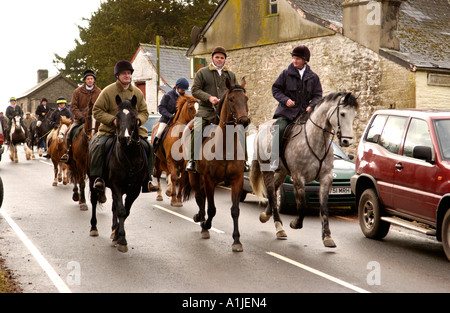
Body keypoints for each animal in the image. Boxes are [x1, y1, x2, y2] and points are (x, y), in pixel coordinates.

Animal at [89, 94, 149, 251]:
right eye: (117, 116)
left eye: (134, 116)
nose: (123, 138)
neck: (130, 156)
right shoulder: (116, 185)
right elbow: (121, 210)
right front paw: (121, 239)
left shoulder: (134, 189)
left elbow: (124, 211)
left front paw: (116, 235)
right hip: (93, 180)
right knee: (94, 201)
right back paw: (94, 228)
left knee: (114, 207)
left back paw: (113, 230)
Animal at [181, 78, 250, 251]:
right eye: (231, 99)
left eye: (246, 98)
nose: (244, 121)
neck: (225, 146)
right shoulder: (209, 179)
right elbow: (212, 208)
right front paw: (206, 225)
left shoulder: (237, 180)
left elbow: (235, 210)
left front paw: (237, 240)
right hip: (194, 176)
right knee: (200, 197)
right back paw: (200, 219)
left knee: (202, 197)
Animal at [250, 91, 358, 247]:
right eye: (342, 114)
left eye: (354, 114)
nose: (347, 141)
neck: (316, 141)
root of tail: (262, 127)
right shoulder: (298, 179)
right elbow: (302, 206)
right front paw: (295, 223)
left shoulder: (326, 178)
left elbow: (324, 207)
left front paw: (327, 237)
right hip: (267, 170)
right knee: (271, 192)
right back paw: (279, 226)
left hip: (282, 172)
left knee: (274, 190)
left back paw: (266, 215)